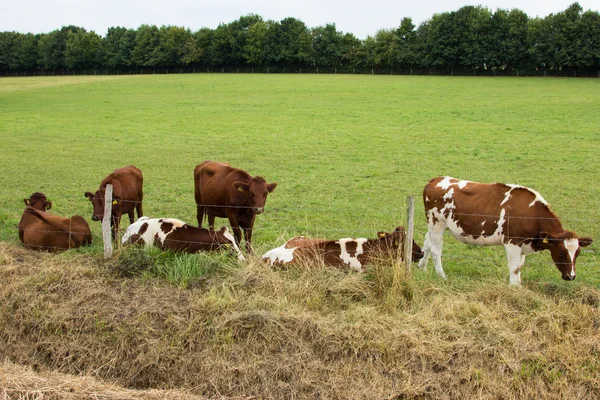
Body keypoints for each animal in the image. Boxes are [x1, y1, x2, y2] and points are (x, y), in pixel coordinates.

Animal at [420, 177, 592, 286]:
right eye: (562, 253)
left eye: (578, 253)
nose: (571, 276)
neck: (531, 213)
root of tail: (436, 179)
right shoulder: (512, 243)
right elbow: (514, 268)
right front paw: (514, 288)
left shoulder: (523, 246)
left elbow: (519, 268)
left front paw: (519, 287)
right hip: (437, 223)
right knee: (436, 250)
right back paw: (442, 276)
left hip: (435, 225)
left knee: (427, 242)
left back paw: (422, 267)